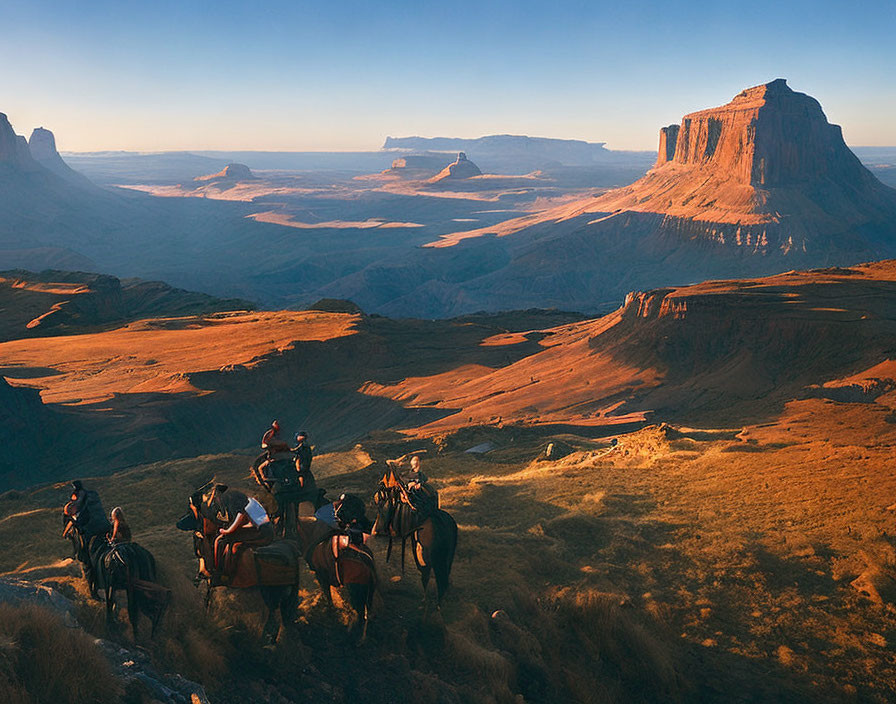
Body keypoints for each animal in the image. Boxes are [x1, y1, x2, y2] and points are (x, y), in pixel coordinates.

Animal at [64, 512, 169, 640]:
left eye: (72, 533)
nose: (77, 555)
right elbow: (113, 604)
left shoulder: (106, 583)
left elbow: (108, 602)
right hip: (144, 583)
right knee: (150, 605)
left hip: (127, 587)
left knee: (135, 612)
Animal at [175, 490, 300, 644]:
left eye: (191, 513)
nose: (178, 523)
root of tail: (292, 552)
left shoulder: (210, 581)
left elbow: (206, 599)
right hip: (286, 599)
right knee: (286, 622)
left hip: (271, 596)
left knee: (273, 623)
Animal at [372, 472, 458, 612]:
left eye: (379, 501)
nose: (375, 531)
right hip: (447, 557)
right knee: (442, 578)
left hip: (429, 559)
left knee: (430, 577)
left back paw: (428, 603)